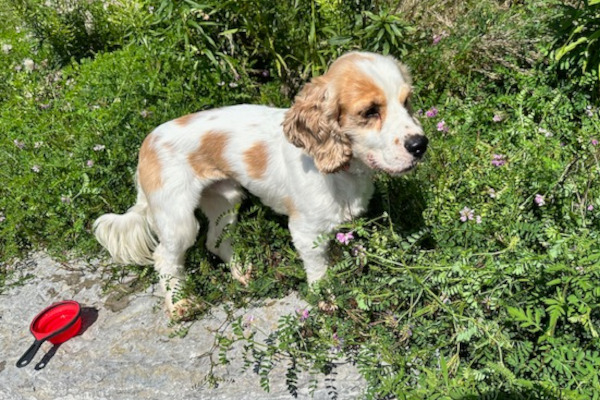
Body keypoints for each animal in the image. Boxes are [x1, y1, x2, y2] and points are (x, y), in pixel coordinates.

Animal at [92, 51, 426, 318]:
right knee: (165, 259)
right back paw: (180, 304)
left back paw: (242, 274)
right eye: (370, 111)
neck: (339, 171)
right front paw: (327, 303)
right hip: (177, 218)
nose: (420, 144)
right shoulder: (306, 232)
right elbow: (320, 273)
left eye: (407, 101)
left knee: (215, 241)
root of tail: (146, 144)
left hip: (226, 200)